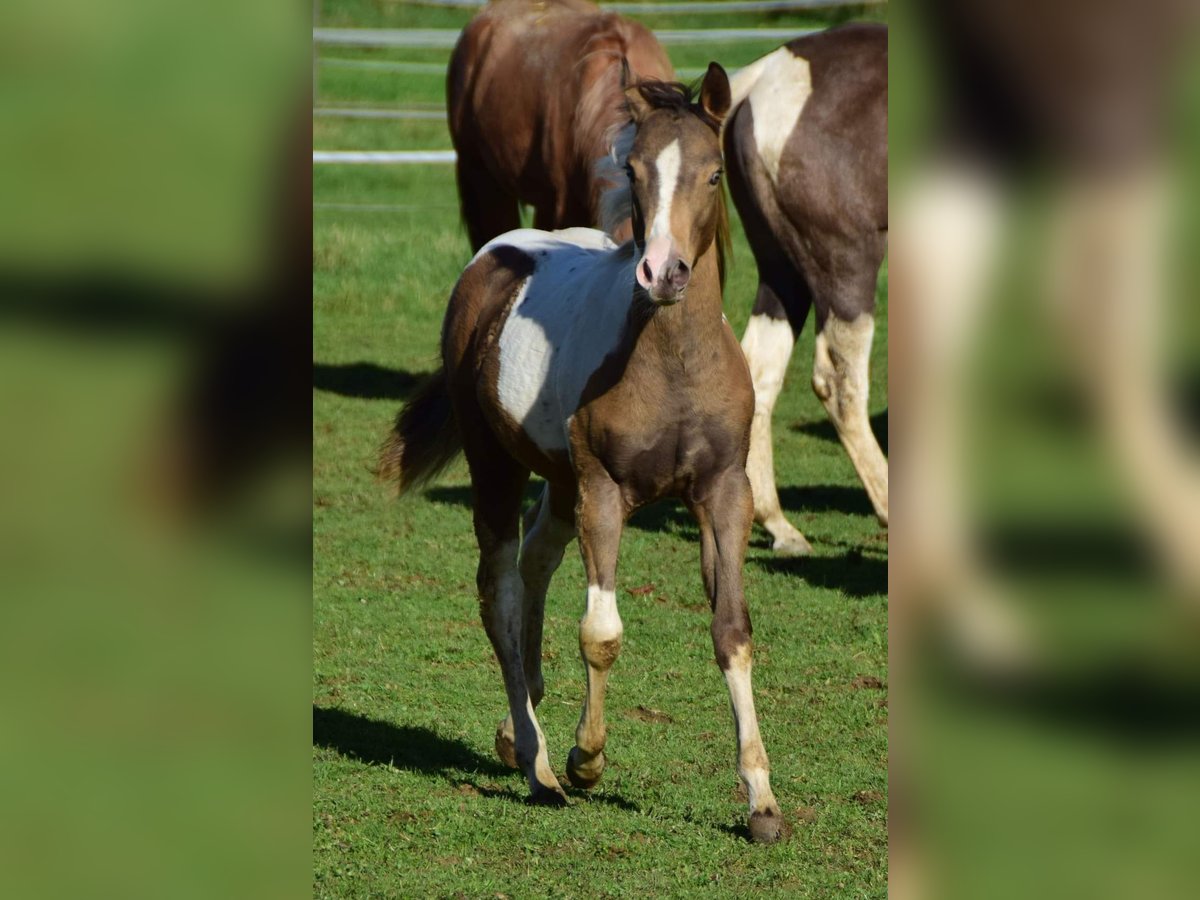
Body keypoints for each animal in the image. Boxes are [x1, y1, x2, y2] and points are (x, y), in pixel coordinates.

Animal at [384, 65, 792, 844]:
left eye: (714, 172)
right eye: (633, 172)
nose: (662, 272)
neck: (672, 361)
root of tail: (496, 252)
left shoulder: (724, 491)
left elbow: (733, 631)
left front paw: (762, 801)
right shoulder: (606, 489)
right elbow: (601, 632)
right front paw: (586, 759)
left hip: (559, 479)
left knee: (535, 561)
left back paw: (518, 728)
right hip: (499, 464)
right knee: (501, 589)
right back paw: (537, 762)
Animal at [720, 22, 892, 556]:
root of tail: (760, 80)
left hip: (783, 274)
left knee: (759, 369)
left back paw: (778, 523)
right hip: (846, 265)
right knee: (839, 383)